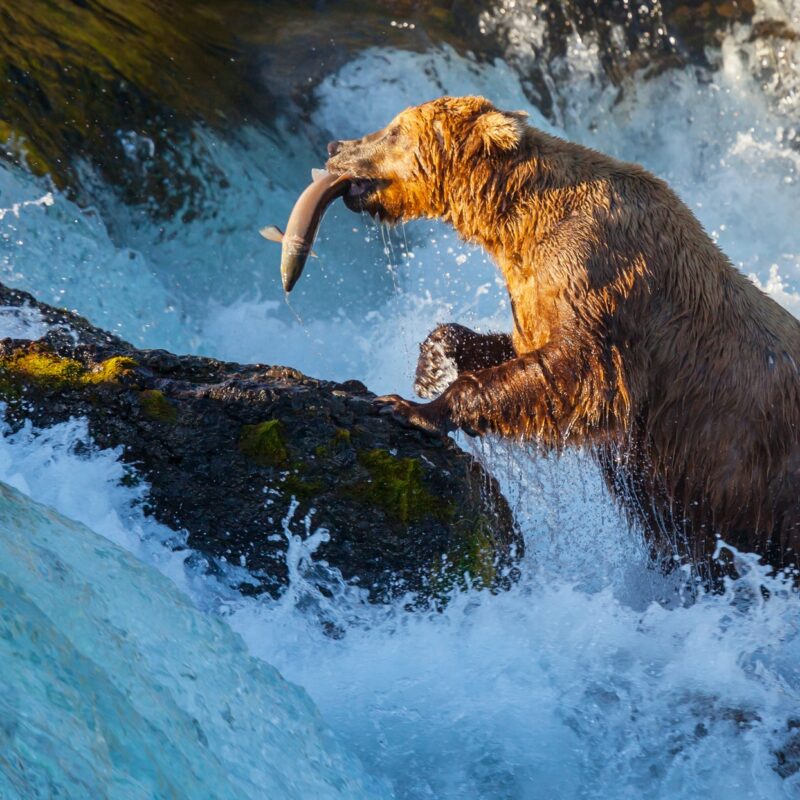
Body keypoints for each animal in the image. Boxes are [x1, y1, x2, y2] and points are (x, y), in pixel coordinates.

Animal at [325, 95, 800, 581]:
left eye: (394, 130)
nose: (335, 146)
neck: (519, 223)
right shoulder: (536, 289)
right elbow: (521, 350)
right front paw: (432, 364)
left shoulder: (601, 276)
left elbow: (578, 374)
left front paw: (410, 407)